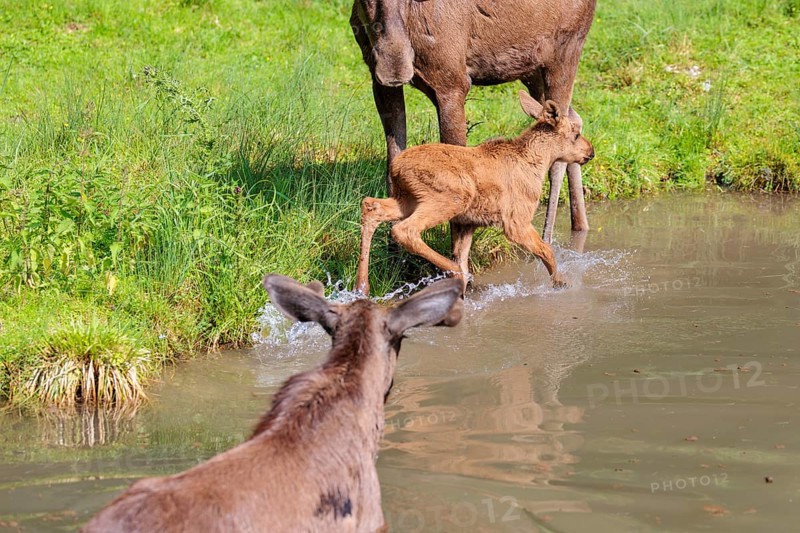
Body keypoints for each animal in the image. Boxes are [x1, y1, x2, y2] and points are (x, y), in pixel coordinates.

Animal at [351, 0, 597, 243]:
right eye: (366, 1)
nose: (394, 64)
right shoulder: (378, 79)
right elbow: (393, 160)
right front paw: (393, 249)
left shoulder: (453, 84)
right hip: (532, 70)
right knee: (573, 119)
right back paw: (580, 226)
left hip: (564, 52)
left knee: (558, 153)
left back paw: (547, 239)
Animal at [355, 91, 594, 295]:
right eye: (576, 134)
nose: (591, 152)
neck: (539, 162)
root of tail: (396, 167)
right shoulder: (516, 221)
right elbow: (547, 251)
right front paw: (561, 283)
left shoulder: (469, 222)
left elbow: (462, 254)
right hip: (451, 197)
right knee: (404, 229)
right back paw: (452, 272)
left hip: (406, 199)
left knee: (371, 206)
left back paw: (362, 286)